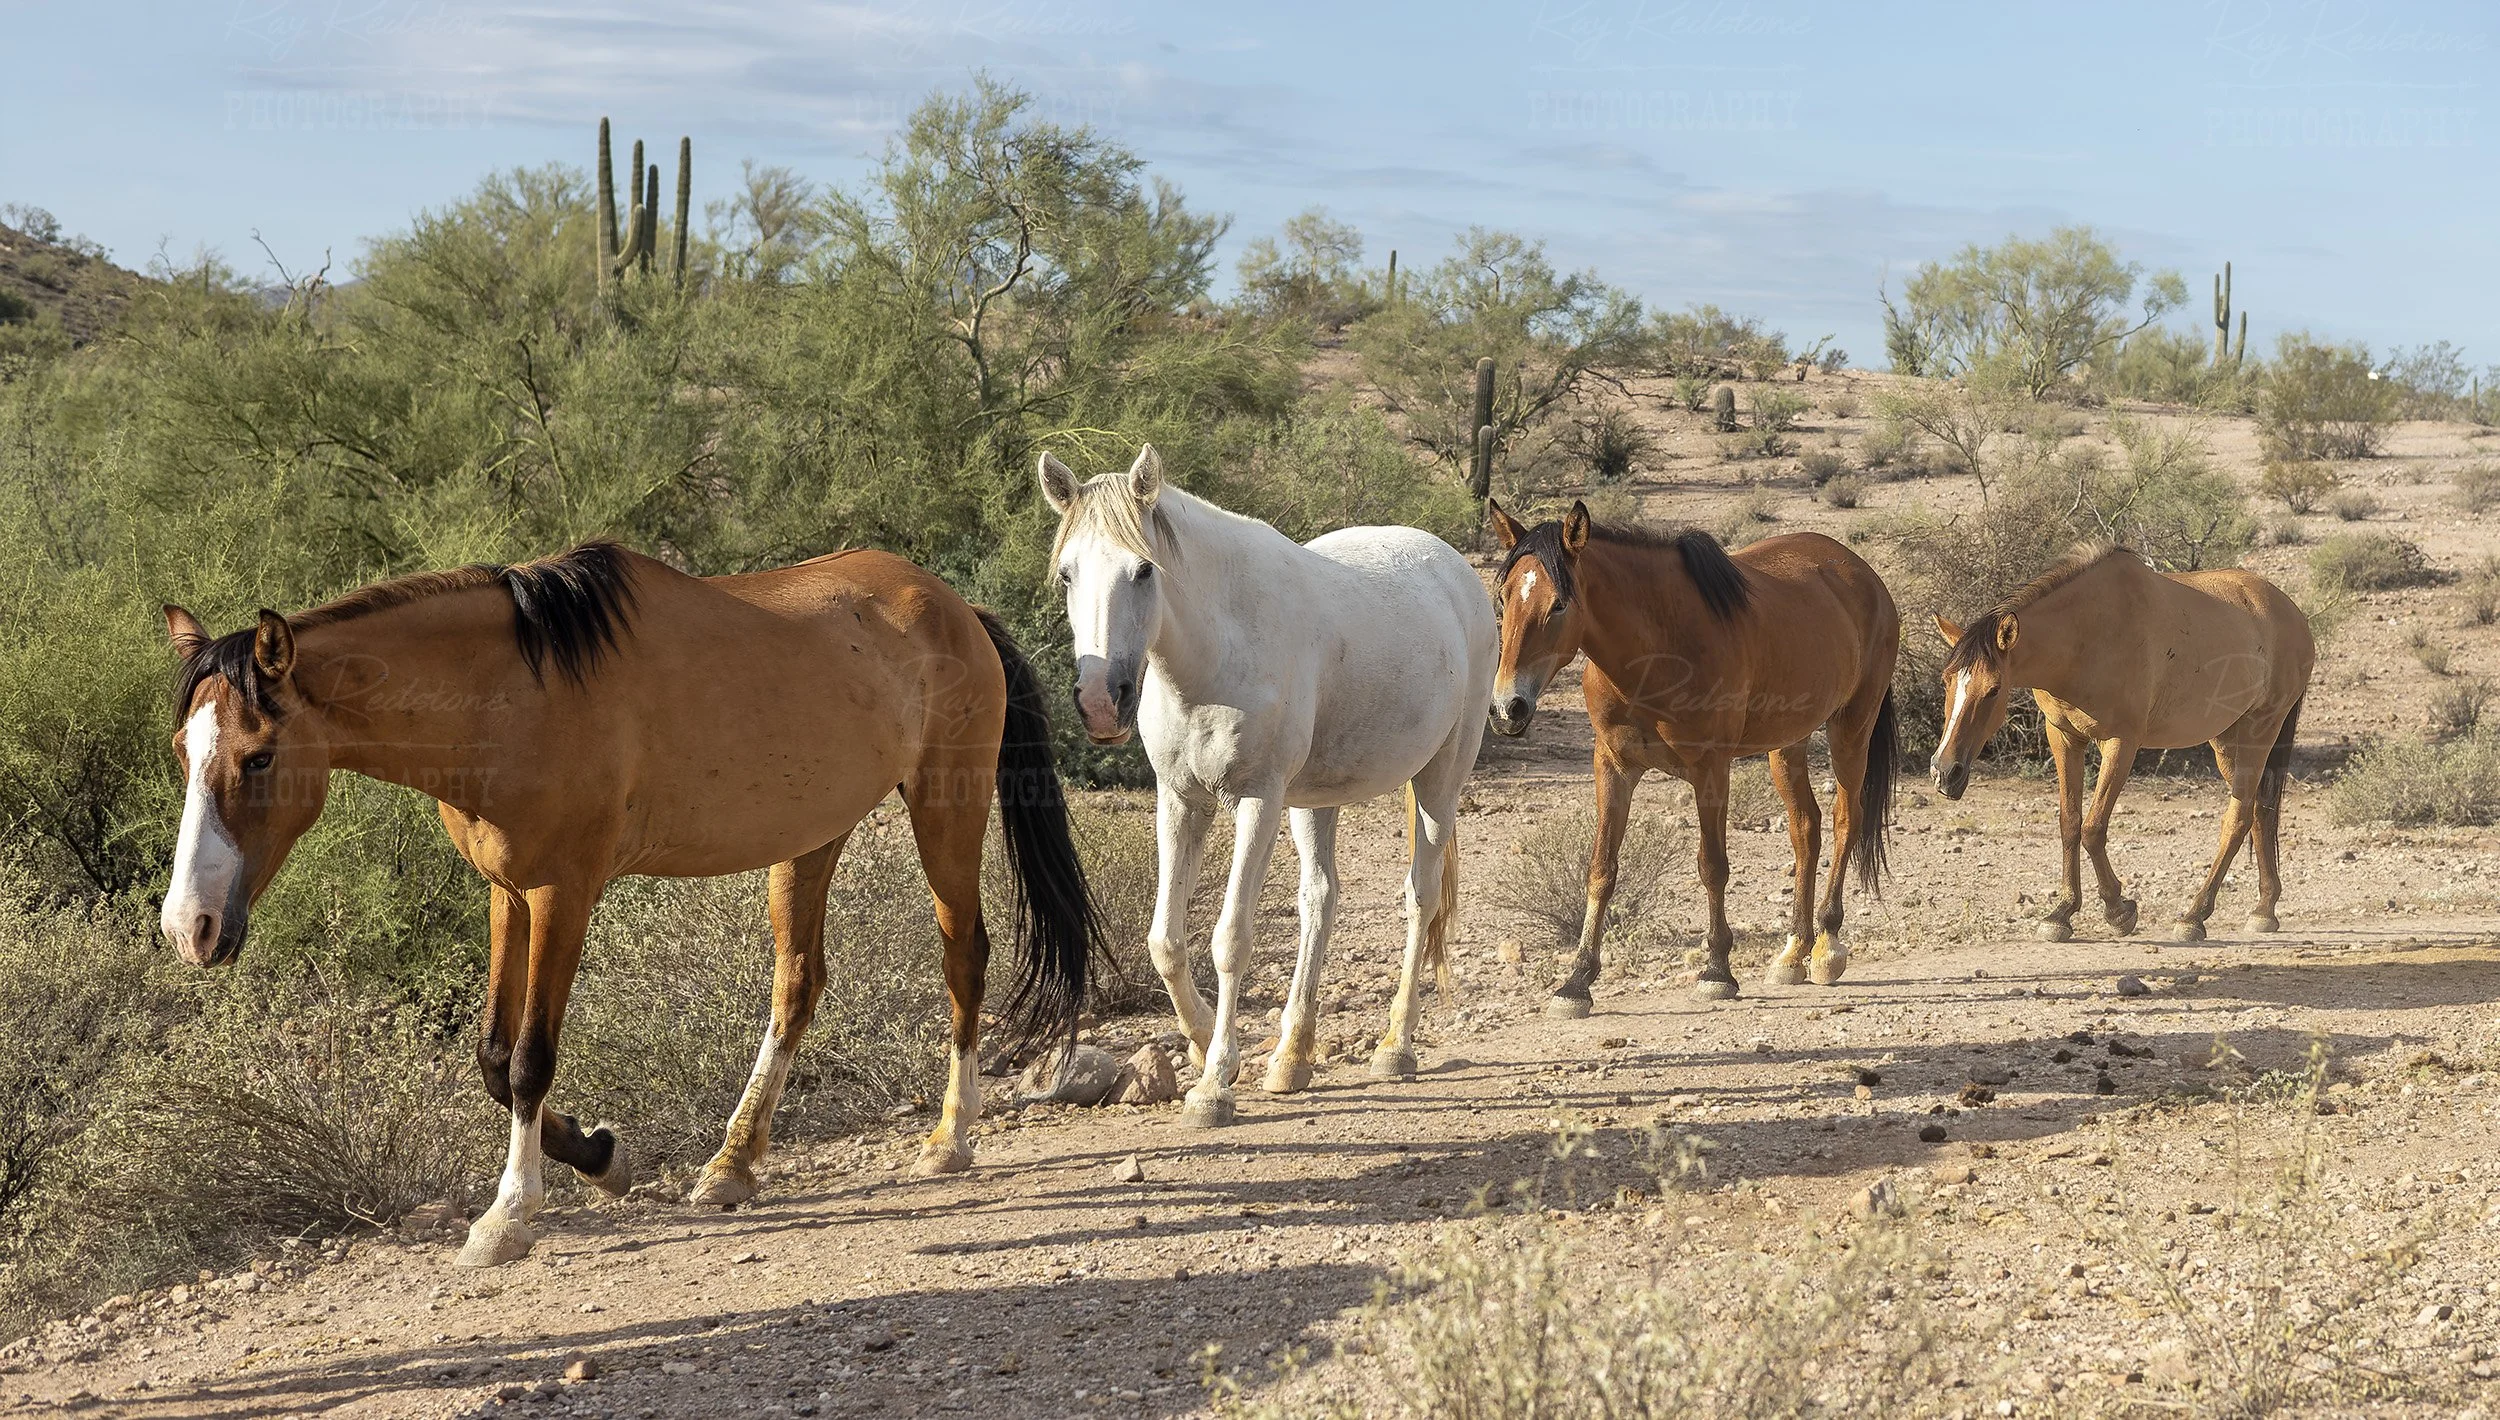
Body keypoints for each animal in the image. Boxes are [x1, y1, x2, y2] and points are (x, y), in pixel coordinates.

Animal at [160, 541, 1101, 1267]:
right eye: (181, 750)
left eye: (257, 756)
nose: (189, 927)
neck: (515, 693)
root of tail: (956, 607)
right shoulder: (507, 894)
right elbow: (492, 1057)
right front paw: (599, 1156)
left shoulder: (563, 894)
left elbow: (529, 1060)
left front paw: (508, 1216)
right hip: (813, 838)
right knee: (797, 985)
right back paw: (731, 1165)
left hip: (946, 807)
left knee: (964, 957)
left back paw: (950, 1139)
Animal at [1038, 445, 1495, 1126]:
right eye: (1067, 574)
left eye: (1143, 570)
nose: (1099, 703)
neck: (1214, 654)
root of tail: (1456, 569)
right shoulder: (1181, 800)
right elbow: (1165, 940)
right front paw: (1202, 1042)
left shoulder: (1257, 800)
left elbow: (1230, 939)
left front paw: (1213, 1085)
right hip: (1315, 801)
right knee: (1320, 900)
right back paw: (1291, 1058)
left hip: (1440, 780)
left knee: (1421, 896)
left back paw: (1395, 1045)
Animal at [1486, 499, 1899, 1010]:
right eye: (1503, 598)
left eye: (1559, 603)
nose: (1508, 708)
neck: (1657, 650)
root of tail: (1863, 574)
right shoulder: (1613, 767)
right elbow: (1601, 868)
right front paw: (1577, 980)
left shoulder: (1710, 769)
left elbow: (1713, 867)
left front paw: (1717, 970)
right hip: (1788, 743)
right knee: (1806, 827)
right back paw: (1793, 954)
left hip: (1851, 729)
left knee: (1846, 819)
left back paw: (1827, 947)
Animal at [1927, 544, 2313, 943]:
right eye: (1946, 680)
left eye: (1993, 689)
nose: (1945, 772)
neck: (2086, 635)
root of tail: (2292, 613)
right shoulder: (2064, 736)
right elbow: (2070, 822)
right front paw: (2061, 913)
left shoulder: (2120, 743)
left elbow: (2093, 827)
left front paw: (2118, 909)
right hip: (2226, 740)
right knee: (2260, 809)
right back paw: (2264, 908)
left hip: (2260, 729)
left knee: (2237, 819)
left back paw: (2194, 916)